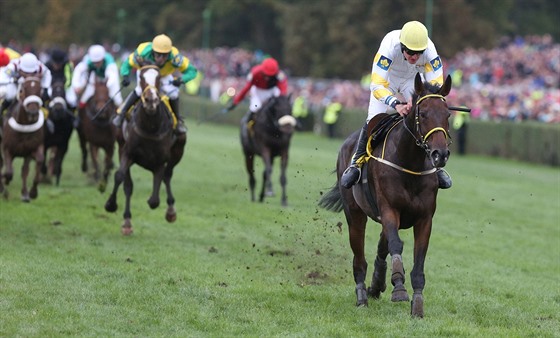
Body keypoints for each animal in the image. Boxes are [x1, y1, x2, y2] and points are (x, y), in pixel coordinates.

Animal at [106, 65, 189, 235]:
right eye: (141, 78)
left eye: (158, 79)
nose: (151, 101)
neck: (150, 127)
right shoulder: (127, 152)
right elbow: (121, 178)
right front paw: (111, 205)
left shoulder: (160, 161)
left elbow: (154, 200)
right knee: (129, 185)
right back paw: (127, 222)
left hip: (178, 152)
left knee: (167, 175)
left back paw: (171, 211)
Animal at [320, 73, 456, 316]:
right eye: (423, 113)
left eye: (447, 114)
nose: (440, 154)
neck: (410, 163)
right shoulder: (389, 210)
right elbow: (396, 245)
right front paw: (399, 288)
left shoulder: (424, 218)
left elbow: (418, 259)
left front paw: (417, 305)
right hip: (355, 214)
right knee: (359, 259)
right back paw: (362, 297)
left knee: (380, 248)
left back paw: (376, 285)